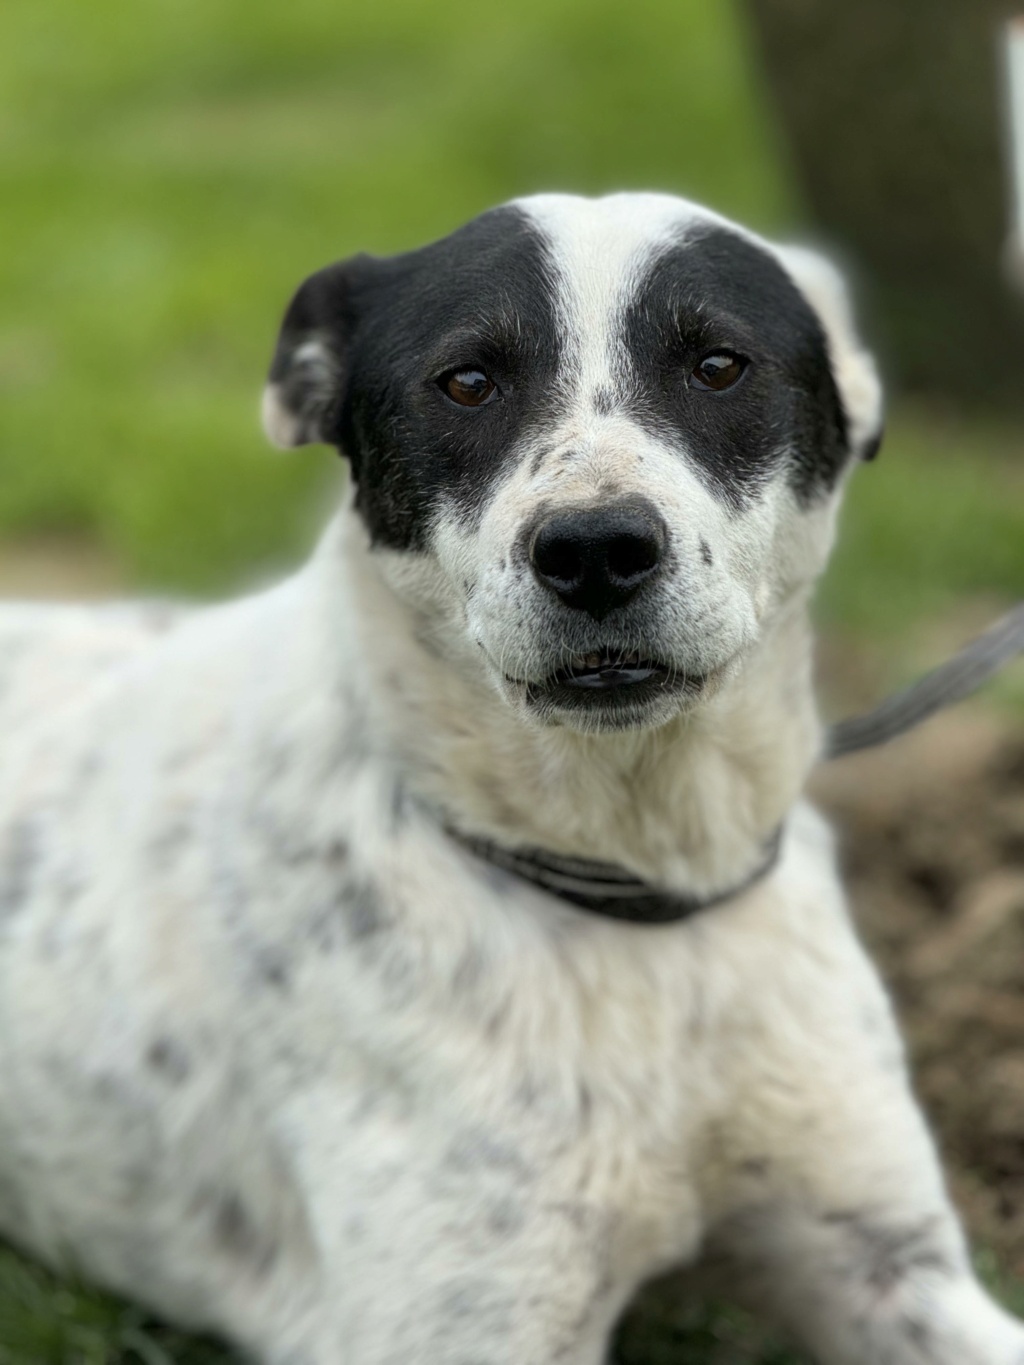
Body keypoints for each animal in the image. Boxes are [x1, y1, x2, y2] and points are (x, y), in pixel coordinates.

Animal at [2, 195, 1024, 1365]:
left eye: (719, 364)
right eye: (466, 381)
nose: (594, 548)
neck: (641, 892)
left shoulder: (891, 1262)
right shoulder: (468, 1331)